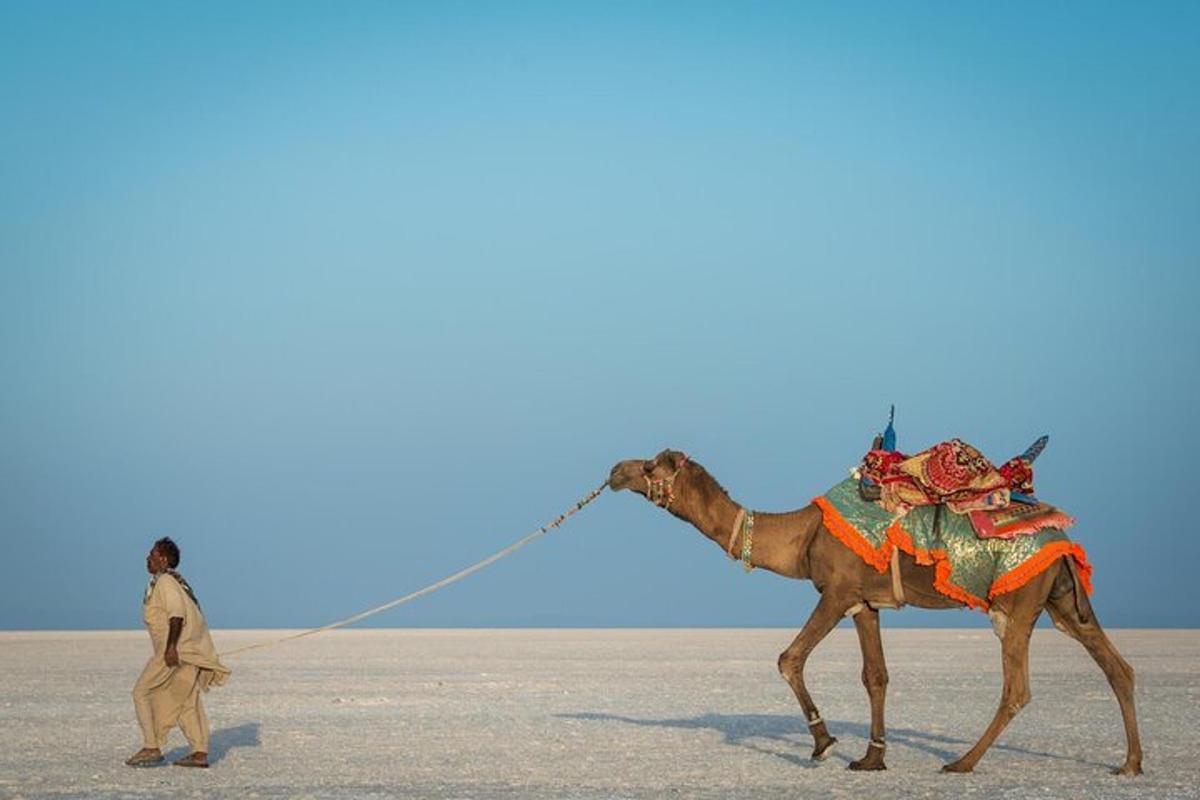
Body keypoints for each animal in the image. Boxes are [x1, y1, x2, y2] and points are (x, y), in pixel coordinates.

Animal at [609, 448, 1142, 772]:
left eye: (652, 467)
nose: (615, 471)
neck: (801, 534)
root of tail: (1063, 541)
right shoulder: (866, 603)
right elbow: (876, 676)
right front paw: (871, 758)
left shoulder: (836, 591)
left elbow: (789, 658)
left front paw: (823, 744)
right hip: (1063, 600)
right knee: (1118, 667)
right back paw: (1131, 764)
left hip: (1020, 599)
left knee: (1017, 689)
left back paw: (962, 762)